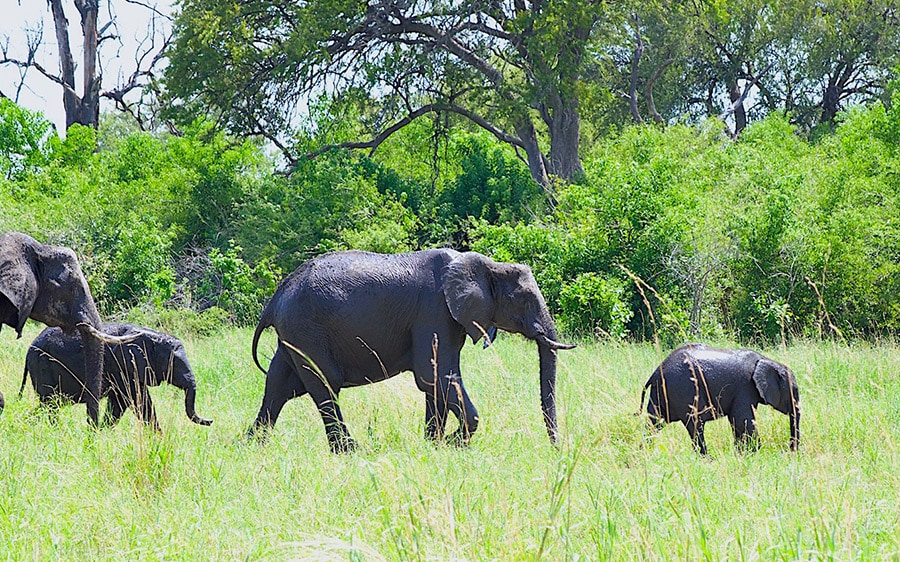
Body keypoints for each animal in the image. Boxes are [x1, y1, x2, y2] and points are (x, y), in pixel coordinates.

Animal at [21, 320, 213, 428]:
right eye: (175, 364)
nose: (210, 421)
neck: (151, 336)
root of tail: (29, 348)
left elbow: (124, 403)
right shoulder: (121, 366)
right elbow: (135, 401)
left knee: (47, 405)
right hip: (42, 366)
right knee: (50, 404)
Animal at [250, 248, 576, 450]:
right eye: (522, 298)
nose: (556, 448)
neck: (484, 264)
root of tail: (276, 297)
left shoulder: (449, 318)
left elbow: (435, 381)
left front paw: (434, 444)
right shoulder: (434, 310)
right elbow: (435, 376)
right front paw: (453, 443)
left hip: (294, 334)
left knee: (279, 386)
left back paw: (251, 445)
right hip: (307, 329)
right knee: (324, 385)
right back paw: (349, 451)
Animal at [640, 342, 800, 456]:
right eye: (794, 391)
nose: (791, 450)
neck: (766, 360)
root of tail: (656, 371)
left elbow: (737, 421)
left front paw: (742, 453)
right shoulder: (745, 387)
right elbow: (742, 419)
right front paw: (754, 452)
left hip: (662, 392)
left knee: (654, 421)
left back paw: (643, 453)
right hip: (684, 389)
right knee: (695, 424)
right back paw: (707, 459)